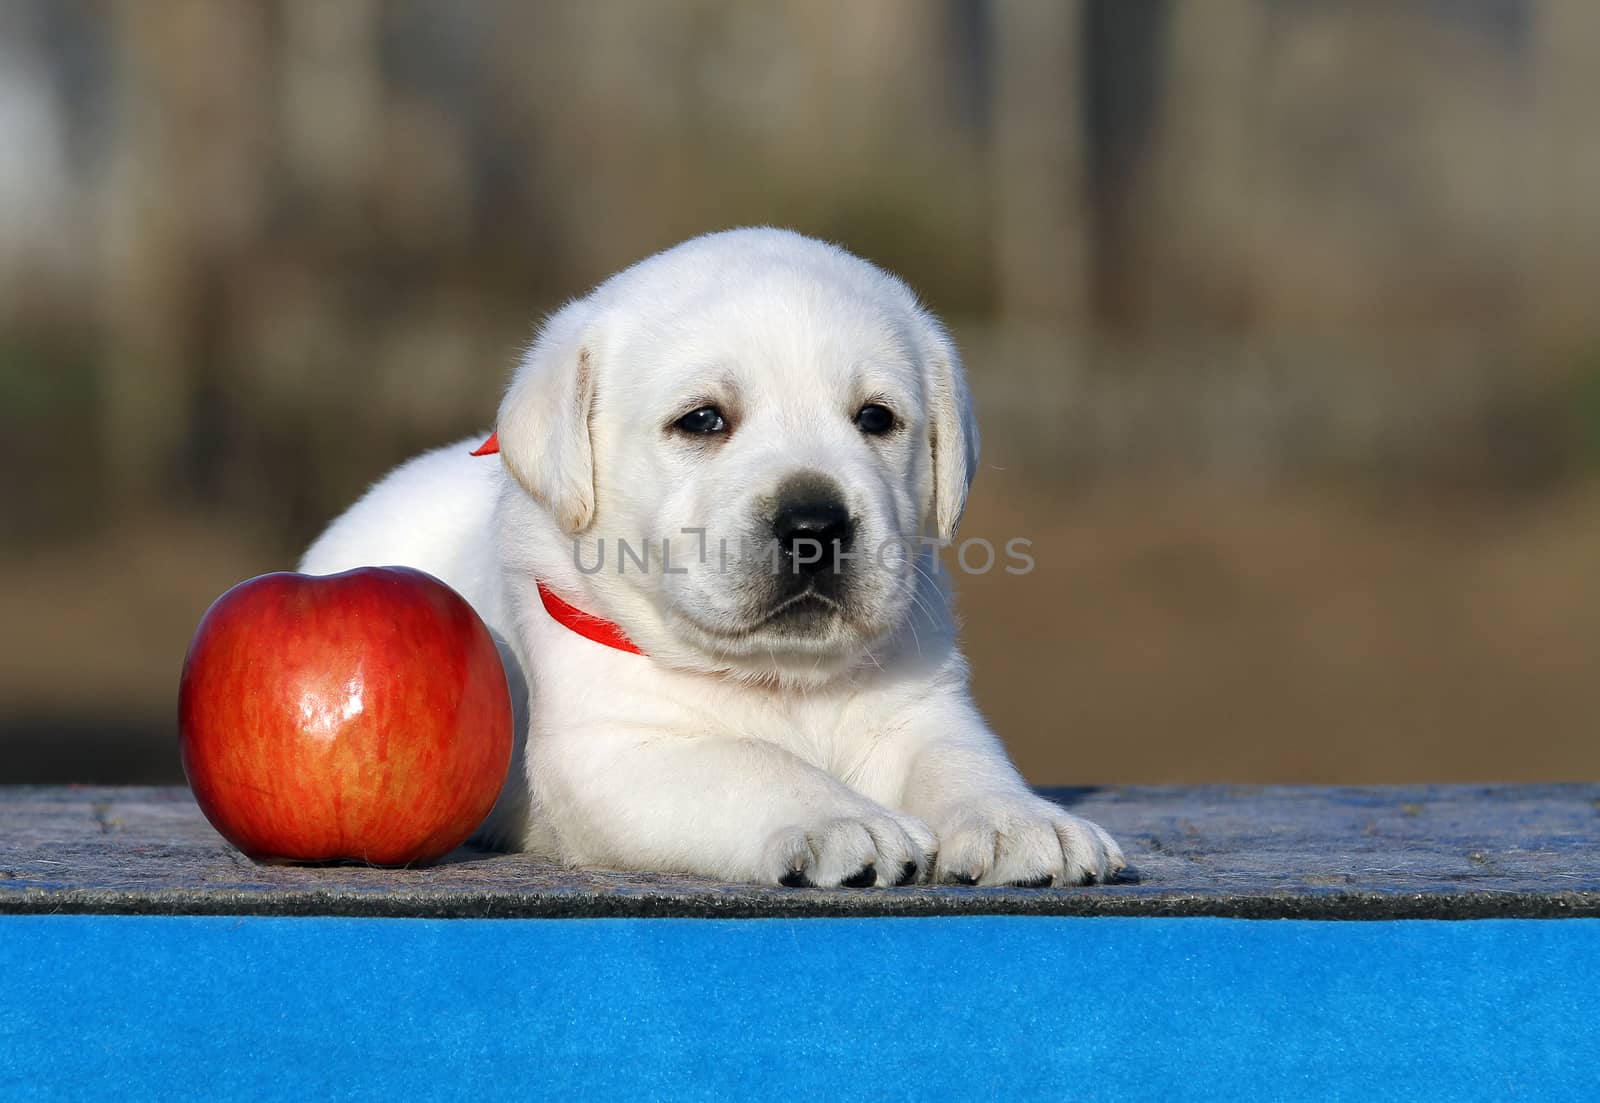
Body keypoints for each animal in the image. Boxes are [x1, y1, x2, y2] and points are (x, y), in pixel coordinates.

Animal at [300, 230, 1126, 883]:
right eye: (702, 420)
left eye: (876, 418)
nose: (815, 523)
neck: (783, 681)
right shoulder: (613, 752)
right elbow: (748, 764)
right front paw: (839, 819)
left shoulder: (920, 707)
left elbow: (961, 758)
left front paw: (1021, 820)